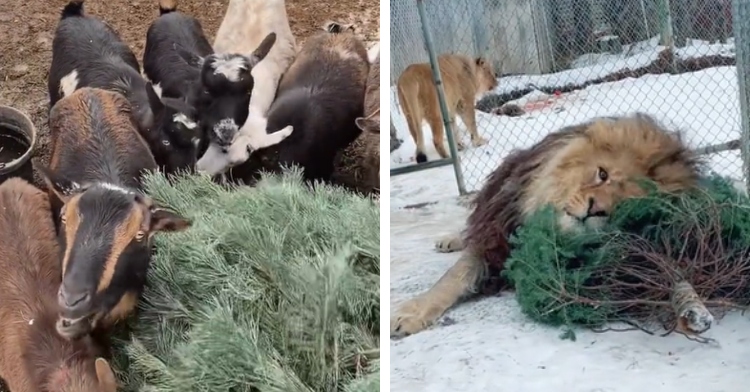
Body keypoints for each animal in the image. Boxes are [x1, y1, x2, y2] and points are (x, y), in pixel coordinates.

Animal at [390, 112, 708, 336]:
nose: (594, 209)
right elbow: (452, 277)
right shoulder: (496, 235)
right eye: (602, 174)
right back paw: (451, 239)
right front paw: (411, 313)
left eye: (625, 205)